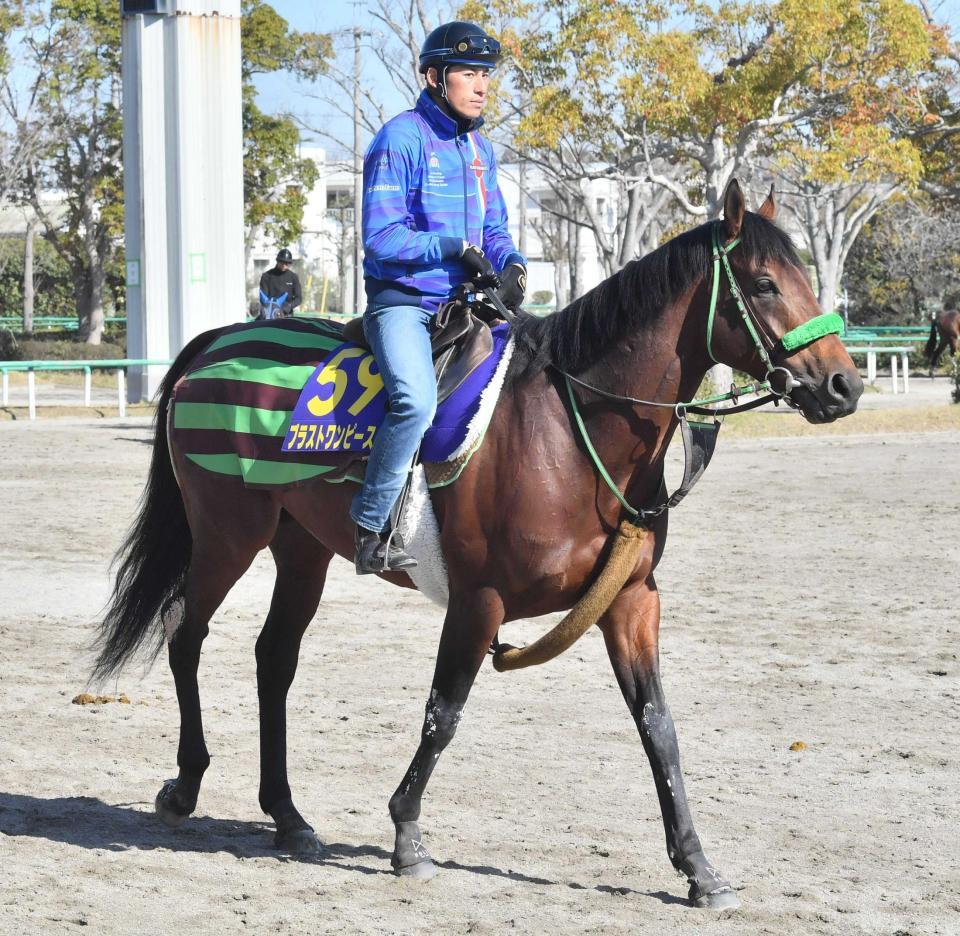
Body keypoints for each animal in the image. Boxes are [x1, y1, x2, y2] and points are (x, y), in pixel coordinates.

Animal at [95, 179, 864, 912]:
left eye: (803, 277)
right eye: (763, 284)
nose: (843, 383)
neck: (571, 428)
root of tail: (220, 340)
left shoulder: (630, 601)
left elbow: (659, 727)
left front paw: (699, 868)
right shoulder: (478, 601)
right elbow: (444, 715)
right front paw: (407, 835)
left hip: (301, 550)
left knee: (273, 658)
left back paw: (287, 815)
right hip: (227, 537)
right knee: (185, 636)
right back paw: (185, 786)